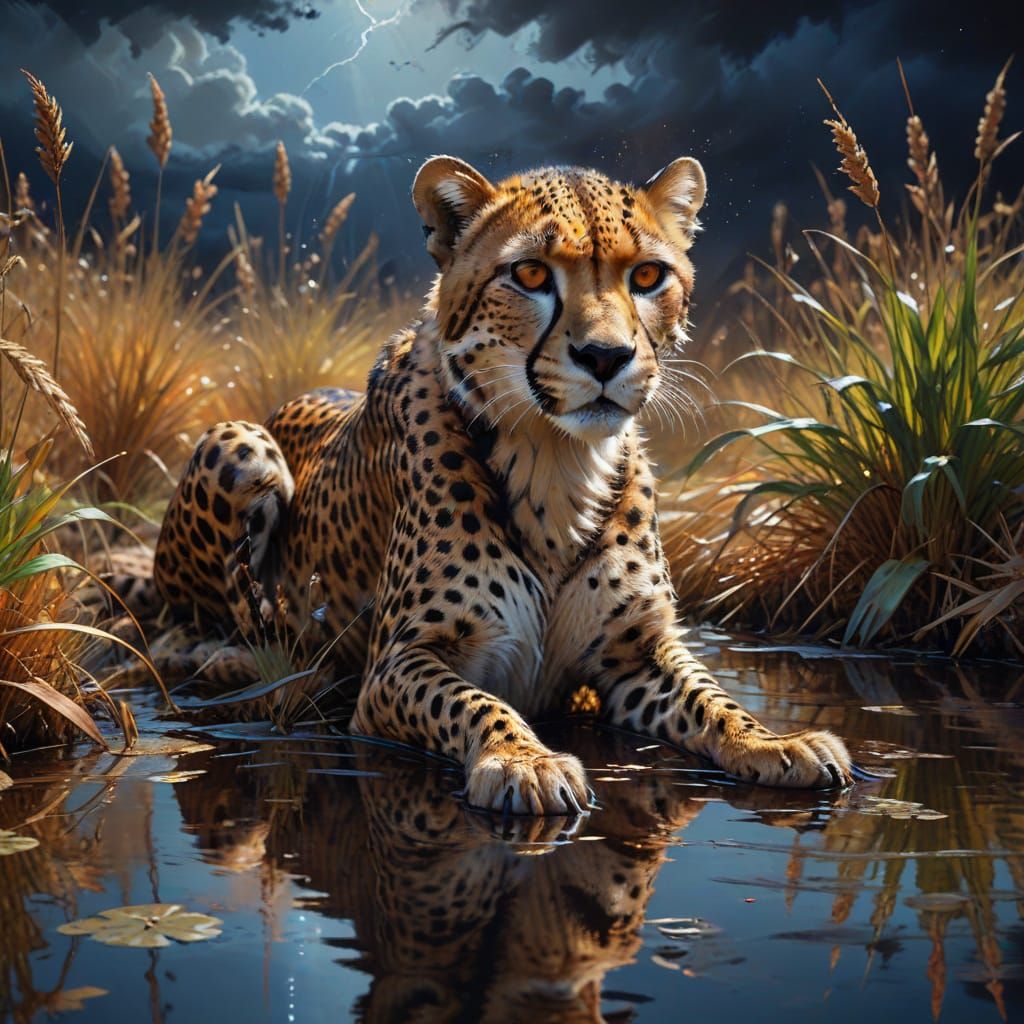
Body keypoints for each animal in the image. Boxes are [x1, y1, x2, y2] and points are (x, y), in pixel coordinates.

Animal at [152, 153, 853, 815]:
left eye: (648, 276)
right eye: (532, 275)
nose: (605, 357)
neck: (558, 460)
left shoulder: (638, 652)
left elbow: (714, 697)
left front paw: (777, 741)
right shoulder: (397, 664)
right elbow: (473, 701)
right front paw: (525, 762)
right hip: (244, 446)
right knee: (190, 630)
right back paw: (273, 667)